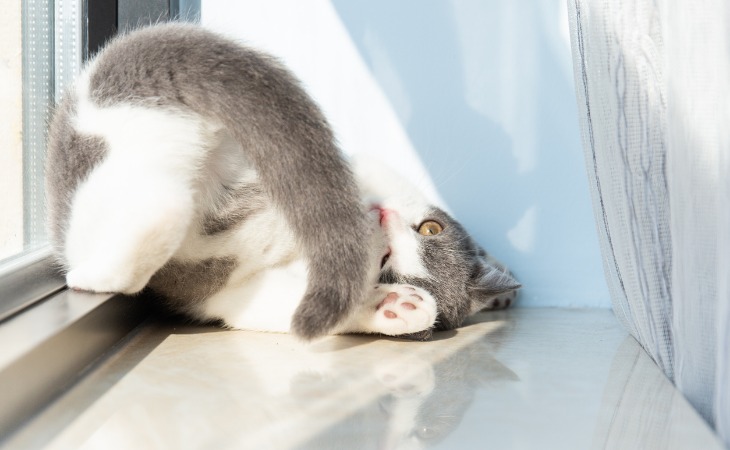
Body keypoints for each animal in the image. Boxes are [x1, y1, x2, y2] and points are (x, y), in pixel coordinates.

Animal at [45, 22, 516, 340]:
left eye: (385, 264)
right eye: (431, 228)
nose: (382, 215)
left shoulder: (236, 294)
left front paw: (397, 306)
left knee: (156, 207)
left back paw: (97, 271)